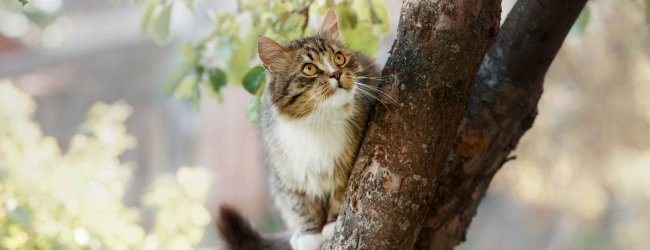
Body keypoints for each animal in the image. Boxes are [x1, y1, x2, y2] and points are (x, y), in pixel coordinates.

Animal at [218, 8, 380, 250]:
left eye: (339, 58)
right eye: (309, 69)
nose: (336, 74)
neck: (319, 121)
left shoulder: (349, 165)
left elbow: (339, 195)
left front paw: (331, 224)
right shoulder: (289, 173)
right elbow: (302, 205)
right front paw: (309, 233)